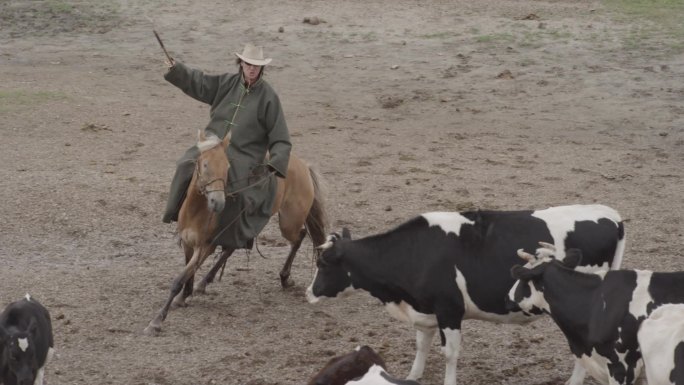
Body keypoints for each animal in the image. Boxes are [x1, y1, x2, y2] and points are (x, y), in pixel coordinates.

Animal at [143, 130, 328, 334]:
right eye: (205, 165)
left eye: (226, 167)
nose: (218, 202)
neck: (196, 210)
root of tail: (303, 165)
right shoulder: (188, 243)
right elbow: (188, 273)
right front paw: (185, 296)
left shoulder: (204, 246)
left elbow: (180, 278)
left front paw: (157, 320)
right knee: (231, 249)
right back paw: (204, 282)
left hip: (289, 222)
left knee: (299, 236)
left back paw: (285, 277)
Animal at [306, 204, 624, 384]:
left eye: (323, 263)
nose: (310, 292)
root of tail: (612, 215)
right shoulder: (426, 310)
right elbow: (421, 345)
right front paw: (412, 376)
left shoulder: (449, 309)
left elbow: (449, 353)